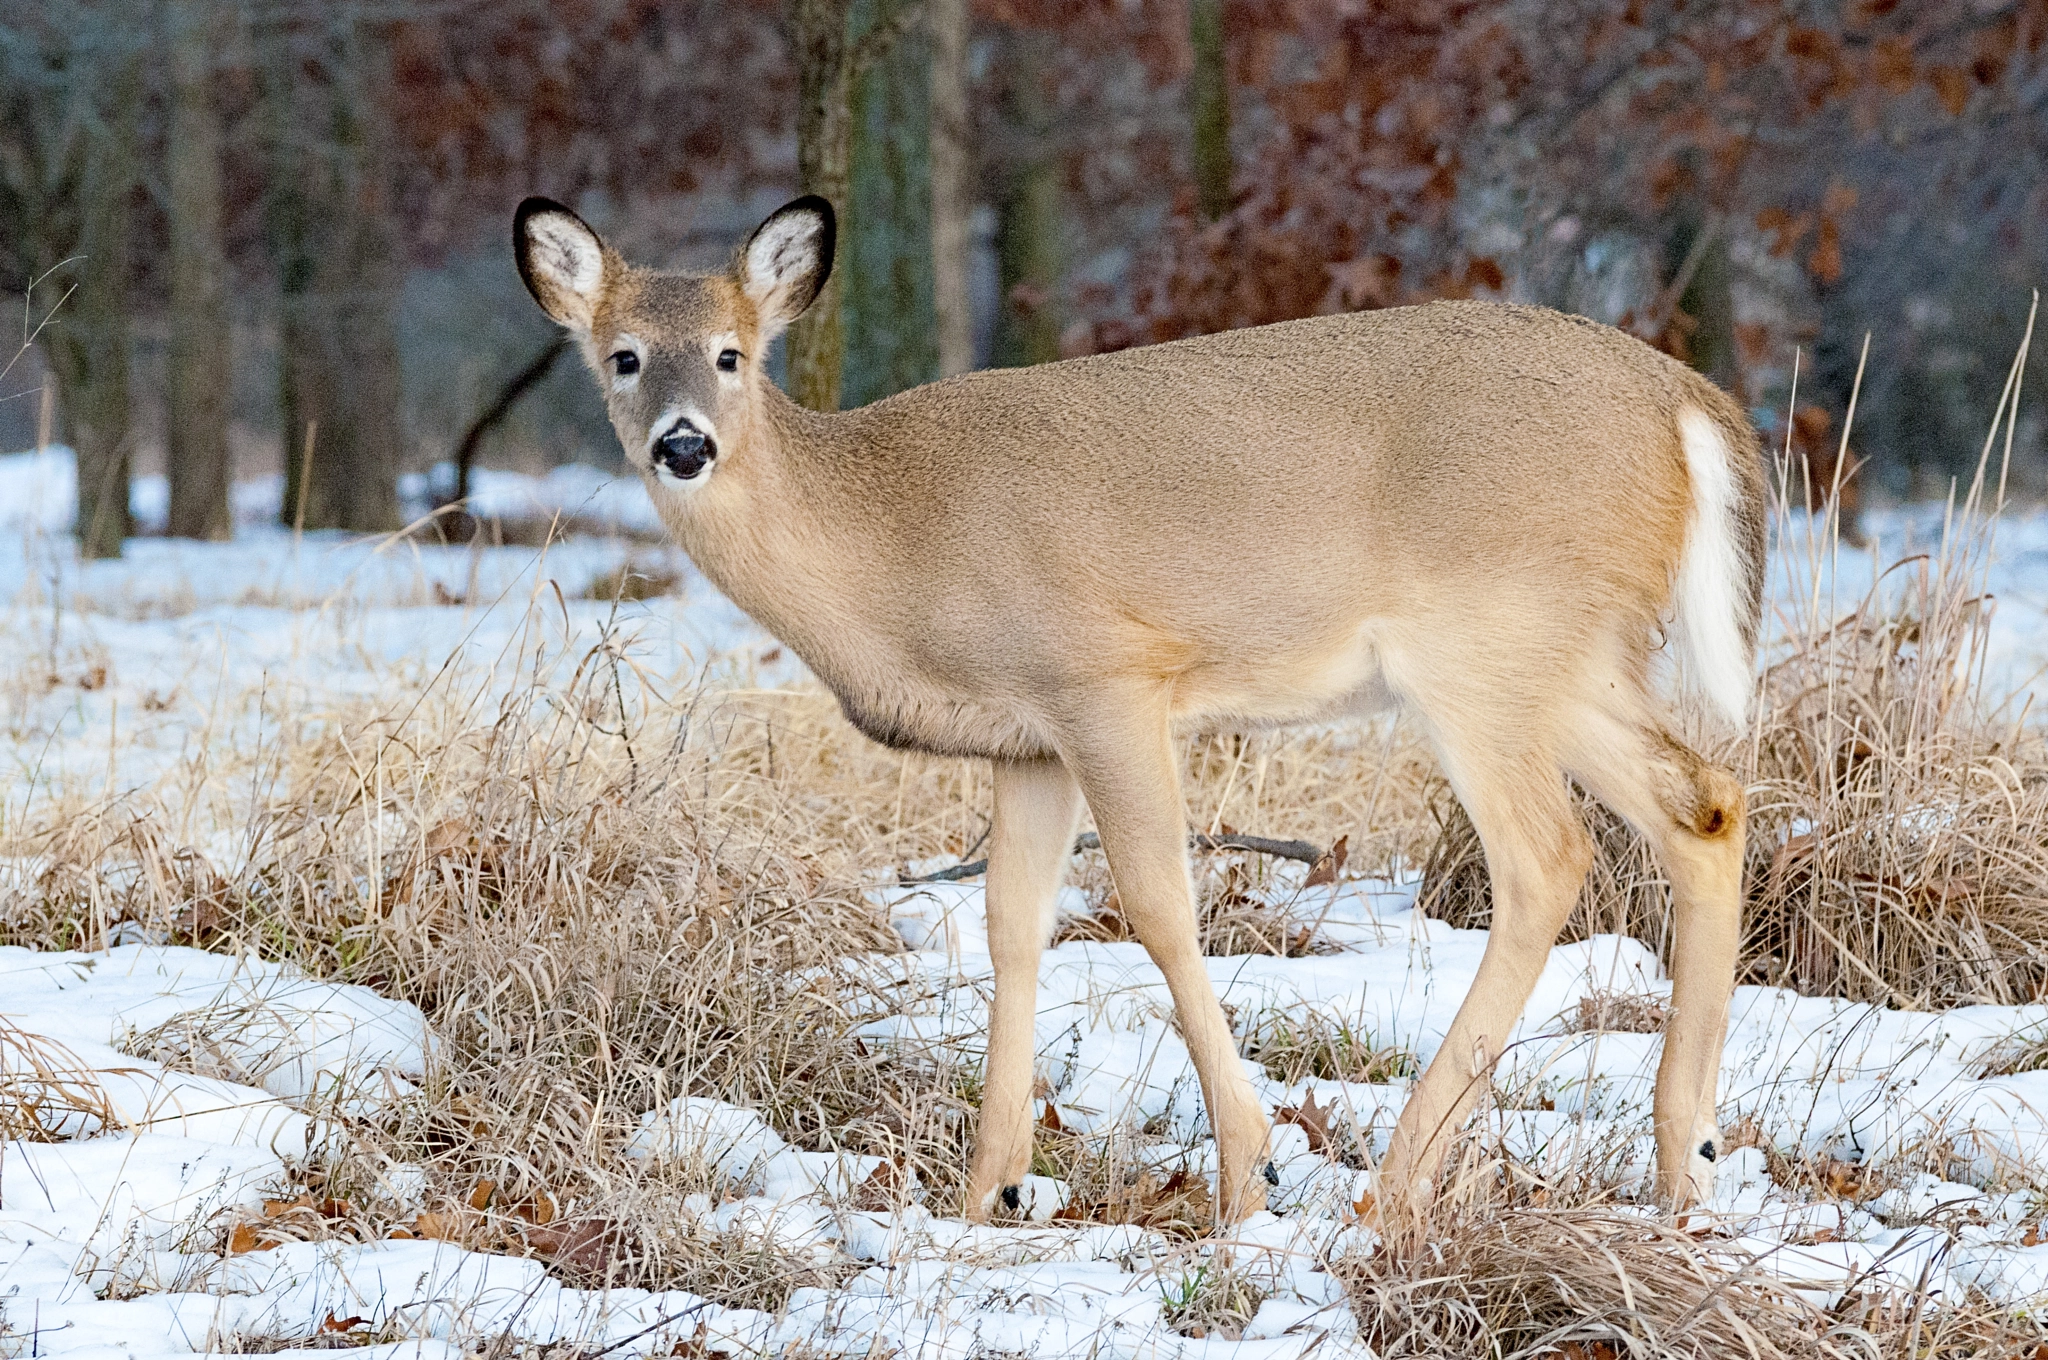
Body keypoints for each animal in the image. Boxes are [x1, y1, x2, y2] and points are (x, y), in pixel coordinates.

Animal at [513, 192, 1764, 1231]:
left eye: (731, 355)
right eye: (623, 358)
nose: (683, 443)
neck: (890, 540)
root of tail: (1686, 404)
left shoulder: (1104, 680)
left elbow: (1158, 905)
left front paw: (1250, 1170)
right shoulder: (1025, 740)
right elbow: (1012, 925)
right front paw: (988, 1189)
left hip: (1482, 648)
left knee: (1548, 860)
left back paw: (1400, 1179)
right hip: (1570, 661)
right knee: (1702, 802)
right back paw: (1685, 1159)